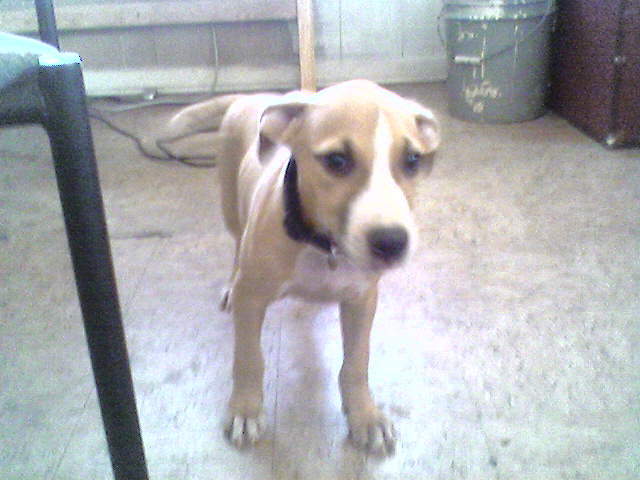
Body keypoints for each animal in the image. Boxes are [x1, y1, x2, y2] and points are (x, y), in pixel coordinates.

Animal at [166, 80, 440, 455]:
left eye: (412, 160)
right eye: (337, 160)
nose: (391, 242)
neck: (322, 245)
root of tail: (251, 97)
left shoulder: (361, 301)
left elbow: (357, 363)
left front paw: (365, 415)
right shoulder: (252, 299)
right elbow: (249, 358)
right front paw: (245, 410)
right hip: (230, 205)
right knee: (236, 243)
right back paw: (230, 285)